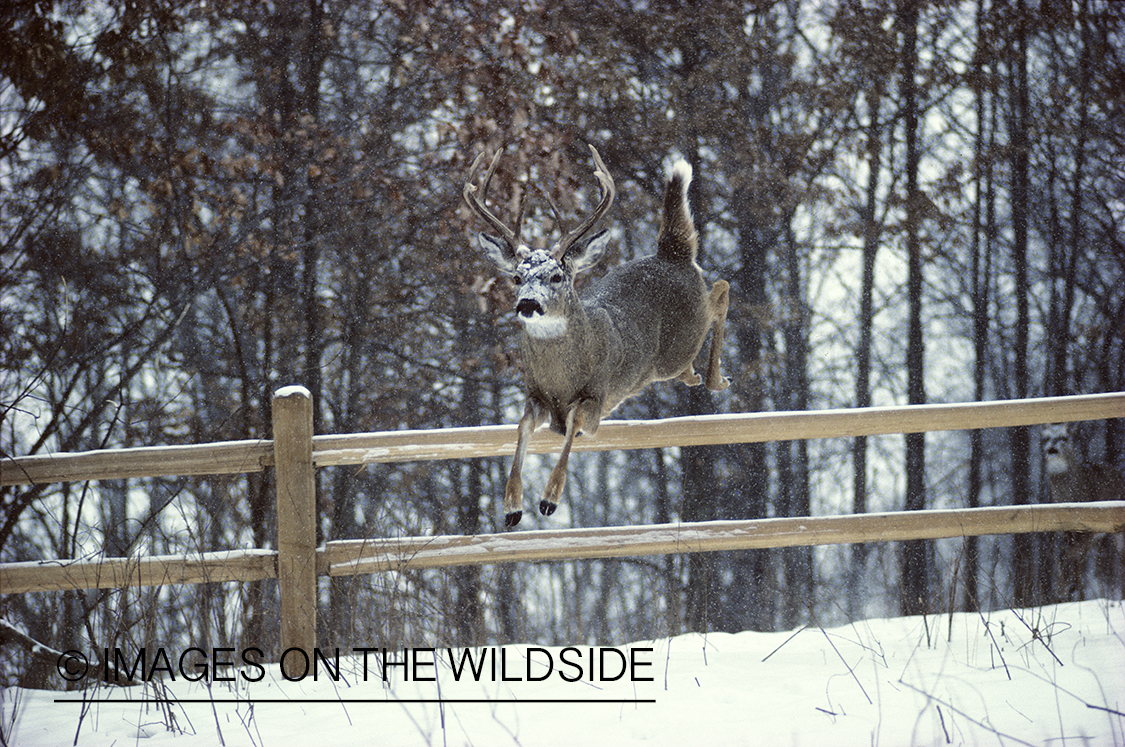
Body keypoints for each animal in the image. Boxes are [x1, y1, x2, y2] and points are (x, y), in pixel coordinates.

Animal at [463, 144, 730, 528]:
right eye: (516, 277)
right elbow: (522, 427)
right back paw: (695, 376)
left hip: (682, 339)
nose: (528, 303)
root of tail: (672, 253)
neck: (561, 381)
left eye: (557, 276)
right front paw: (512, 507)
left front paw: (549, 499)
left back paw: (716, 378)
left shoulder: (597, 397)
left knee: (721, 291)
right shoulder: (536, 395)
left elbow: (574, 424)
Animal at [1040, 422, 1125, 601]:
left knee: (1119, 557)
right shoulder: (1065, 532)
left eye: (1064, 437)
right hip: (1097, 536)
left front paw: (1067, 591)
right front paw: (1064, 591)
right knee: (1089, 561)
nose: (1052, 449)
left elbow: (1072, 558)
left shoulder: (1086, 531)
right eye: (1045, 438)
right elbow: (1065, 558)